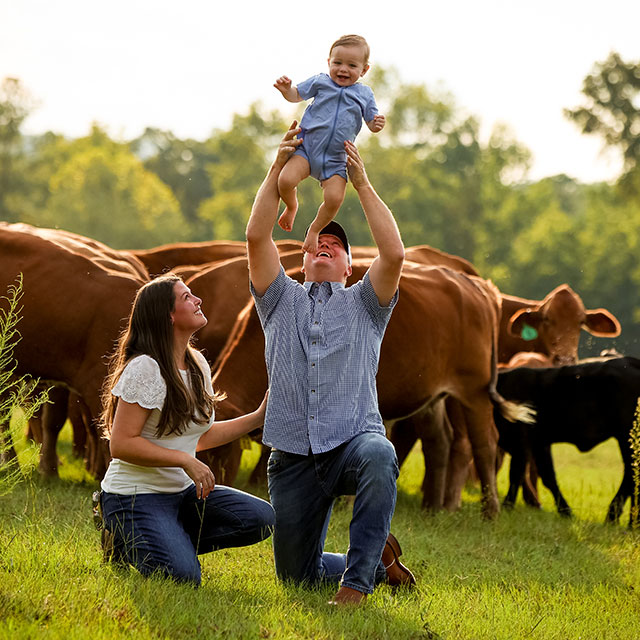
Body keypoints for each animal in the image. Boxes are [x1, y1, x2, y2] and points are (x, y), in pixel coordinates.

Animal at [212, 260, 532, 520]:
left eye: (222, 449)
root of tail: (475, 285)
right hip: (432, 397)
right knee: (439, 442)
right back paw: (431, 508)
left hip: (474, 392)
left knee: (485, 445)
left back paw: (490, 512)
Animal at [496, 356, 640, 524]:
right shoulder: (540, 443)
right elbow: (548, 477)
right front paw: (565, 511)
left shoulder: (521, 440)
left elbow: (516, 473)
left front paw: (507, 506)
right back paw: (627, 521)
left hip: (627, 435)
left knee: (631, 472)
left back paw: (616, 517)